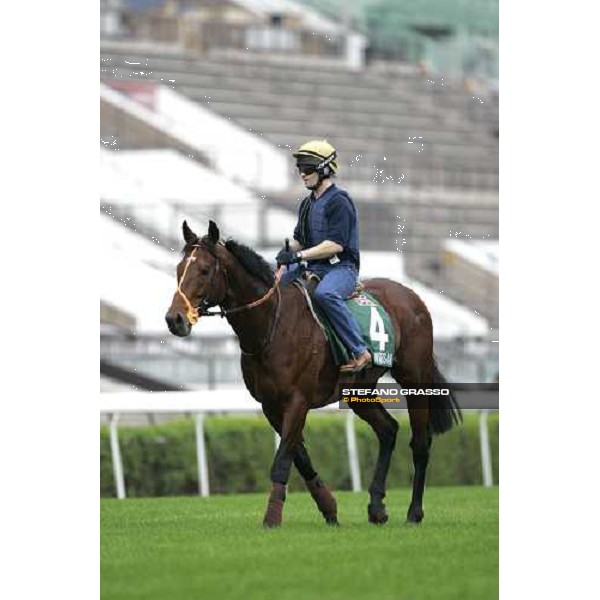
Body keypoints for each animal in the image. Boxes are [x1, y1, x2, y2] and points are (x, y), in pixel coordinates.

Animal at [164, 220, 460, 524]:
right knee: (388, 430)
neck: (271, 325)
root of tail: (412, 297)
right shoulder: (270, 405)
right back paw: (376, 506)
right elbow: (299, 456)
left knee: (420, 442)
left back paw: (414, 512)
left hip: (414, 377)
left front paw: (272, 517)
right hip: (357, 391)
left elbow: (283, 459)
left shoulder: (298, 400)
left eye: (204, 270)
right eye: (179, 269)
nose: (174, 319)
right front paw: (329, 508)